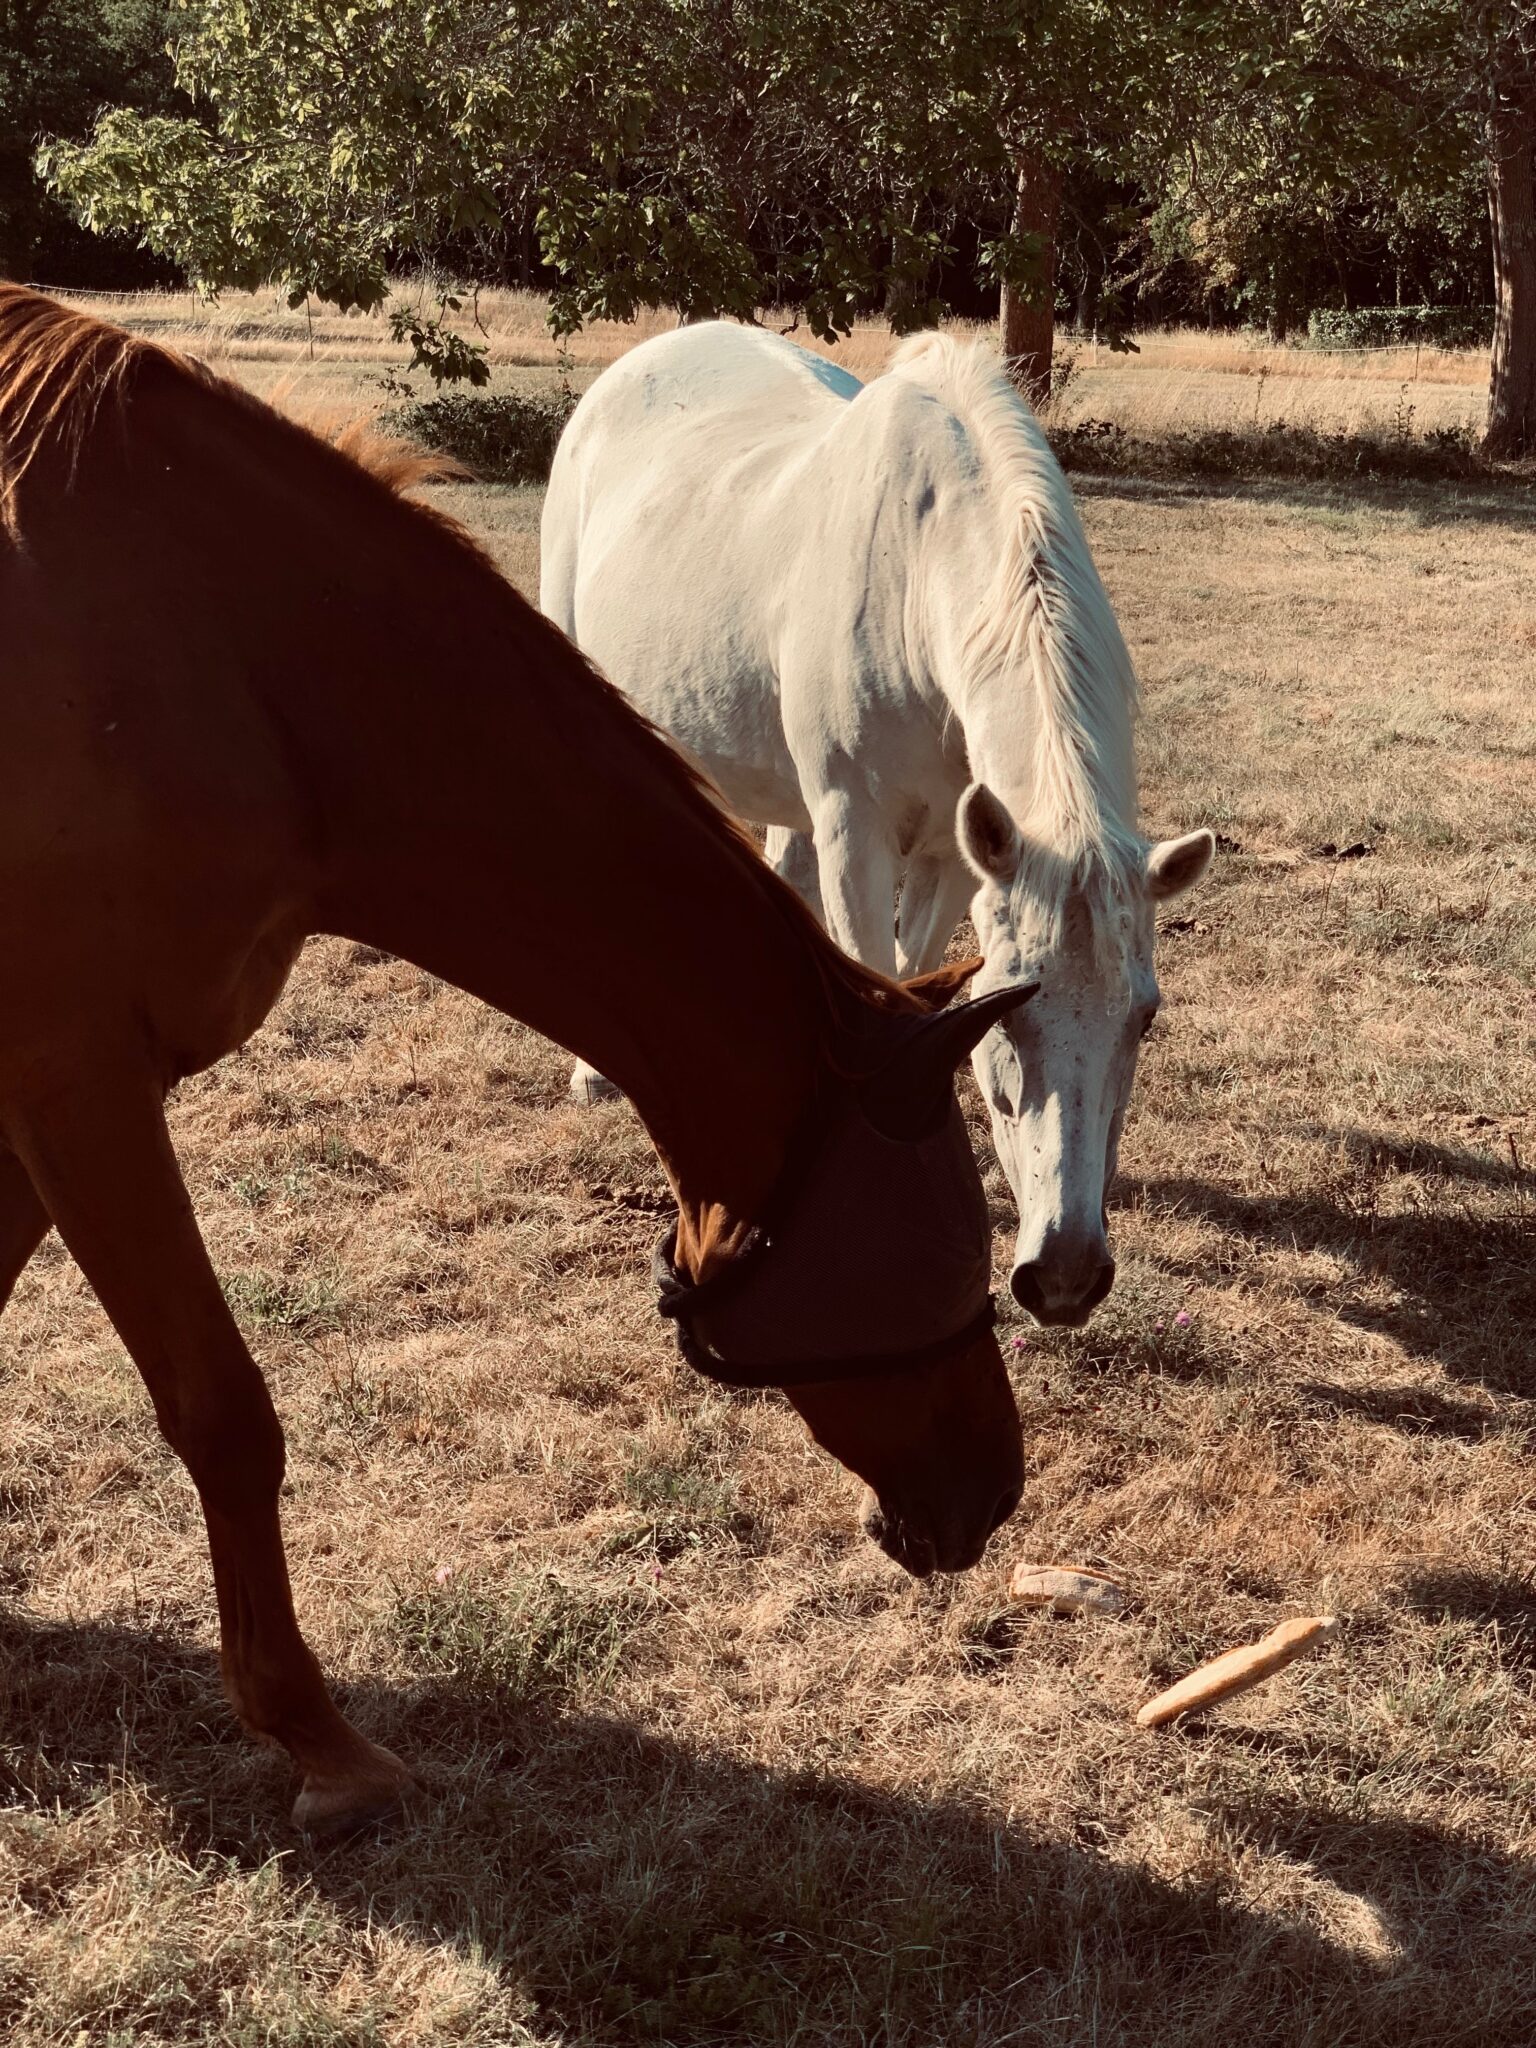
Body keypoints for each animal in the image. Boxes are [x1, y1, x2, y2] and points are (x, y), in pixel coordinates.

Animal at [0, 285, 1034, 1833]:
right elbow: (227, 1413)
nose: (995, 1489)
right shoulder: (81, 1084)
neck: (222, 656)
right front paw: (317, 1740)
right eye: (952, 1248)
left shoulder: (47, 1096)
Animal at [541, 323, 1214, 1327]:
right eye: (1010, 1011)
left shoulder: (954, 852)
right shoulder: (857, 831)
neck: (920, 581)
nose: (1064, 1276)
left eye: (1146, 1016)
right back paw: (593, 1074)